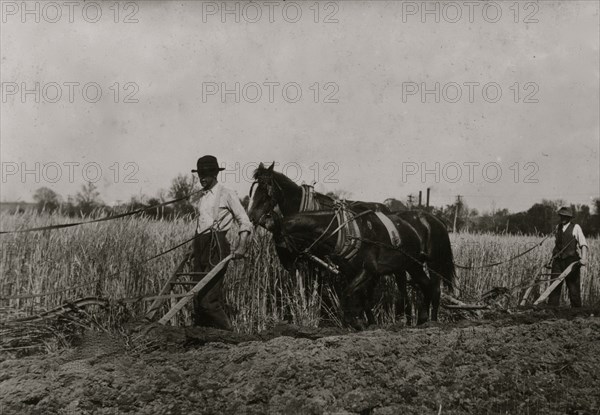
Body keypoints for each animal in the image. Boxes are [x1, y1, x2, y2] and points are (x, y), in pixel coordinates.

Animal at [248, 162, 454, 324]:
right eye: (253, 190)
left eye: (265, 189)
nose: (252, 215)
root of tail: (435, 220)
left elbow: (321, 290)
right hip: (410, 264)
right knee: (417, 286)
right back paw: (414, 318)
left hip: (432, 263)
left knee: (433, 289)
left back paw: (428, 320)